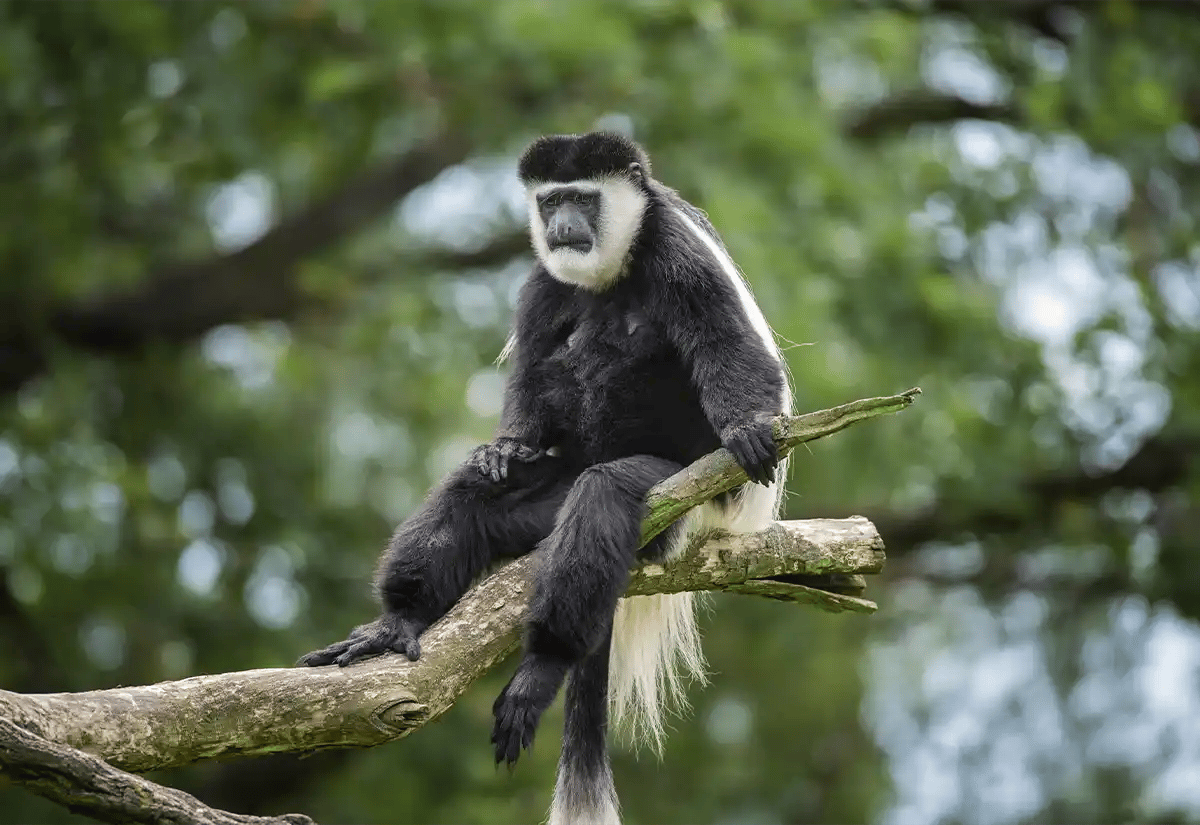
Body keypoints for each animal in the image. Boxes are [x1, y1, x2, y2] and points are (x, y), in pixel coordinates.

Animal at [300, 131, 792, 825]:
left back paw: (541, 668)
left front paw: (747, 428)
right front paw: (503, 447)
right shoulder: (542, 279)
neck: (612, 269)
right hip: (545, 501)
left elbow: (725, 345)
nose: (561, 227)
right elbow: (532, 367)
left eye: (582, 198)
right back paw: (397, 624)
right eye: (551, 200)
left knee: (603, 495)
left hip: (677, 505)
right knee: (473, 496)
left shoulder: (676, 251)